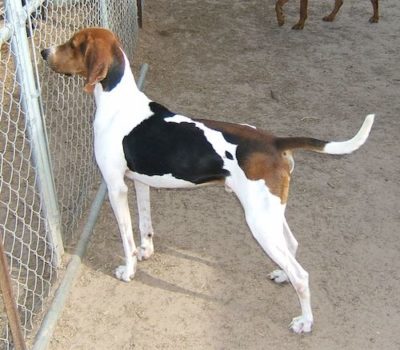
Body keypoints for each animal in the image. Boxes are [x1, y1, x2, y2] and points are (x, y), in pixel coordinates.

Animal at [41, 28, 376, 334]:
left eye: (73, 44)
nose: (44, 52)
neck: (117, 102)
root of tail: (274, 141)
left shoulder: (115, 188)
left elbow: (126, 237)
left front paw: (129, 269)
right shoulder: (140, 183)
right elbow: (144, 225)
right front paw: (146, 252)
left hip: (258, 220)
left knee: (302, 276)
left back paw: (305, 321)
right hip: (270, 212)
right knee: (292, 245)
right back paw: (282, 274)